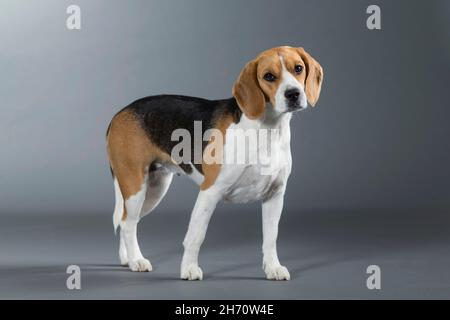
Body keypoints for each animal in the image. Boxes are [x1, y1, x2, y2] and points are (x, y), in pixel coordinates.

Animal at [105, 45, 324, 280]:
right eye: (269, 76)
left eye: (298, 68)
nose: (293, 93)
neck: (266, 128)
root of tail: (120, 112)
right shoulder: (210, 192)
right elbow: (196, 236)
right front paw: (189, 269)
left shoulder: (274, 195)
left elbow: (270, 238)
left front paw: (273, 267)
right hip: (135, 186)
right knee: (128, 224)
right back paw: (137, 260)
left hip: (153, 190)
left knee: (126, 221)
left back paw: (127, 259)